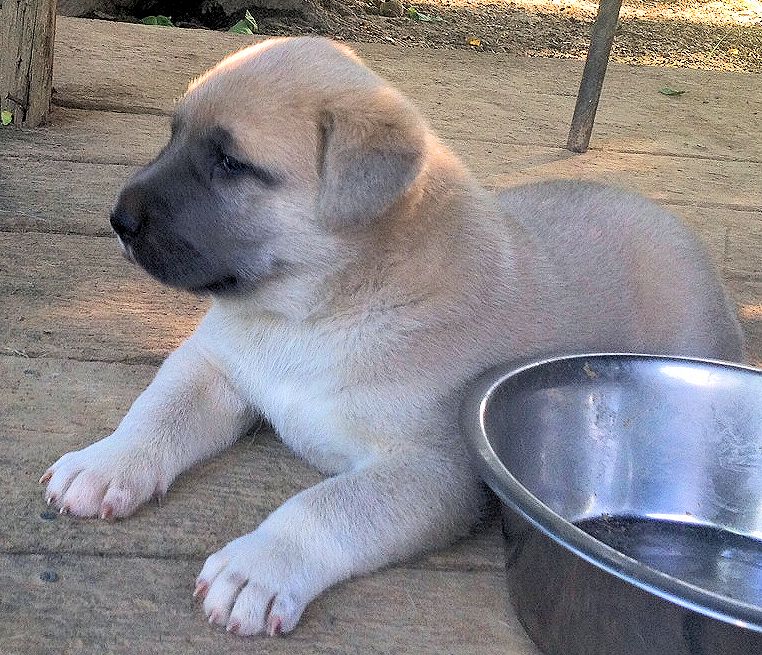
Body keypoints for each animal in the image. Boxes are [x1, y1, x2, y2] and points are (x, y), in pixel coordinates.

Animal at [38, 36, 740, 636]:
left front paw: (257, 567)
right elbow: (157, 413)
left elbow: (328, 506)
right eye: (172, 133)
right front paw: (105, 463)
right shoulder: (213, 366)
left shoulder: (433, 470)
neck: (312, 314)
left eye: (231, 164)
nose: (119, 220)